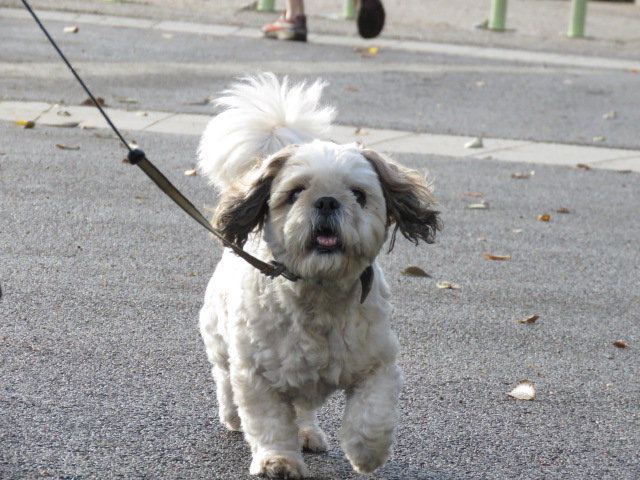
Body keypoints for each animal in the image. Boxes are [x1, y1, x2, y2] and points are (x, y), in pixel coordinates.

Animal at [197, 73, 440, 479]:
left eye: (359, 194)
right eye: (294, 193)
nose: (327, 201)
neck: (320, 293)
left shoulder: (378, 364)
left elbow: (372, 414)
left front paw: (366, 453)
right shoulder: (257, 377)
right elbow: (270, 423)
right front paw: (277, 461)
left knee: (303, 409)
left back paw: (309, 434)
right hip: (220, 341)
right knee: (225, 380)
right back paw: (232, 416)